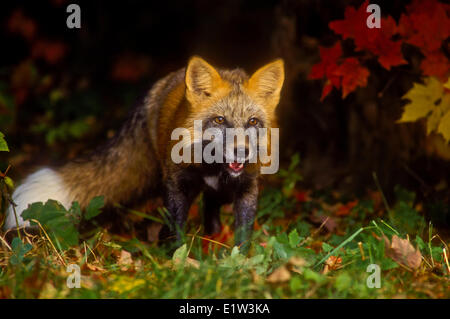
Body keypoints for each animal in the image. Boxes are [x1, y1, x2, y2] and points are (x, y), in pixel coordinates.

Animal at [4, 57, 284, 250]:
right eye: (219, 120)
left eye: (253, 122)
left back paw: (212, 238)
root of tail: (162, 83)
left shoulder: (247, 187)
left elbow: (243, 234)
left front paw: (240, 263)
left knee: (212, 210)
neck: (213, 168)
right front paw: (178, 261)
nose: (242, 151)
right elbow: (176, 228)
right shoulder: (176, 184)